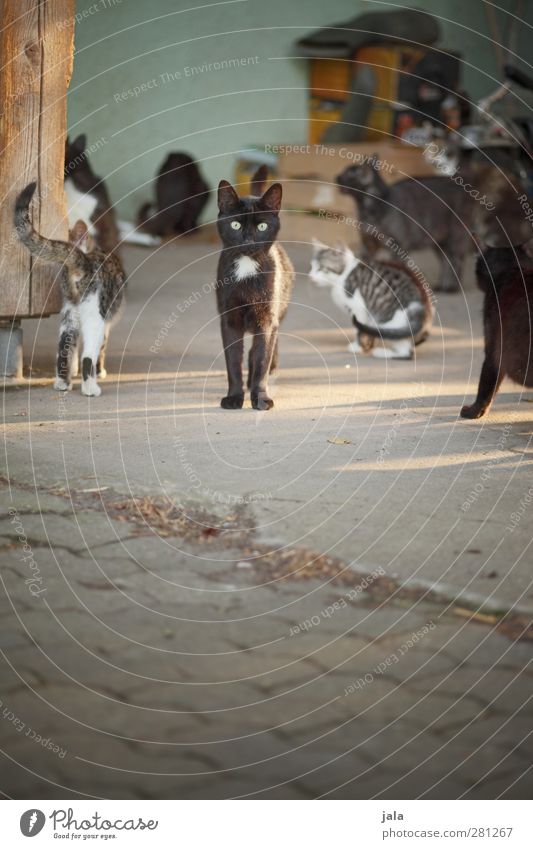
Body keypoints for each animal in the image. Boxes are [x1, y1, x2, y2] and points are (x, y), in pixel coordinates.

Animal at [14, 181, 125, 398]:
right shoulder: (106, 323)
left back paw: (62, 383)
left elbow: (70, 350)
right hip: (94, 315)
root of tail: (83, 261)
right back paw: (90, 388)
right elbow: (101, 348)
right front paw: (100, 371)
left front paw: (72, 372)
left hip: (69, 312)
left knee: (64, 350)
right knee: (88, 356)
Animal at [214, 164, 294, 410]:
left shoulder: (267, 318)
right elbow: (233, 361)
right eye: (235, 224)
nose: (248, 240)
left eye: (262, 226)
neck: (247, 267)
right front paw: (234, 397)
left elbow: (261, 360)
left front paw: (260, 396)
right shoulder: (229, 318)